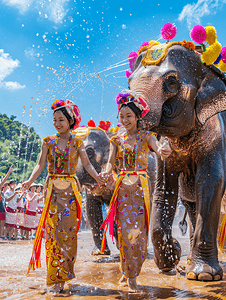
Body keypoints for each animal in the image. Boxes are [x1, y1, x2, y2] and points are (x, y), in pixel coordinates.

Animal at [128, 42, 226, 282]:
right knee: (191, 205)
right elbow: (165, 189)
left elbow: (210, 183)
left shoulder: (215, 133)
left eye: (171, 82)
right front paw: (169, 262)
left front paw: (205, 276)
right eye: (129, 82)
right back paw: (187, 262)